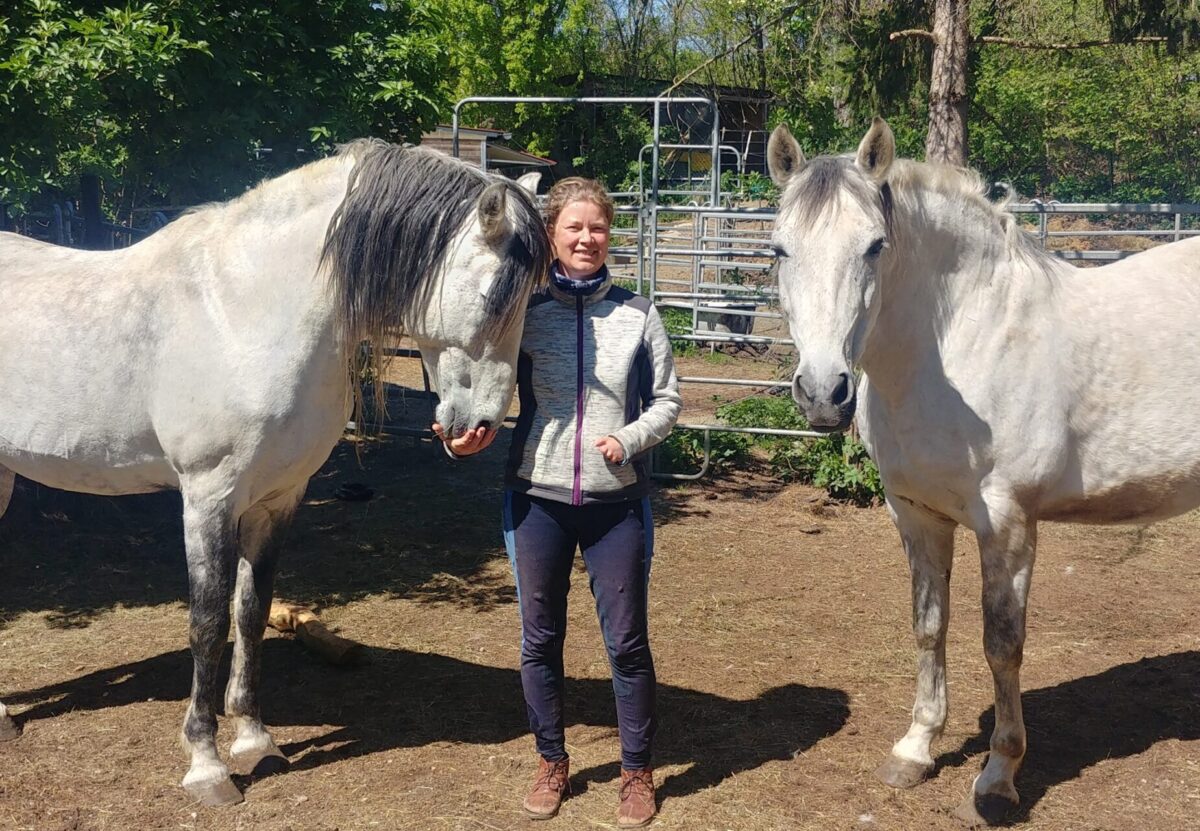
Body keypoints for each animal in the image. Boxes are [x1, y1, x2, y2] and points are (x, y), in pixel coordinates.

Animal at [0, 142, 550, 806]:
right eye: (496, 294)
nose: (480, 427)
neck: (241, 310)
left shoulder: (277, 500)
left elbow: (252, 612)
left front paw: (255, 740)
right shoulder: (207, 500)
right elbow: (208, 623)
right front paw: (207, 766)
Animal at [766, 118, 1200, 824]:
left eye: (875, 246)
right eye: (779, 249)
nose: (824, 393)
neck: (967, 339)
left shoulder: (1008, 525)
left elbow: (1003, 645)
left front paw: (998, 777)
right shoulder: (917, 517)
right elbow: (929, 625)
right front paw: (916, 749)